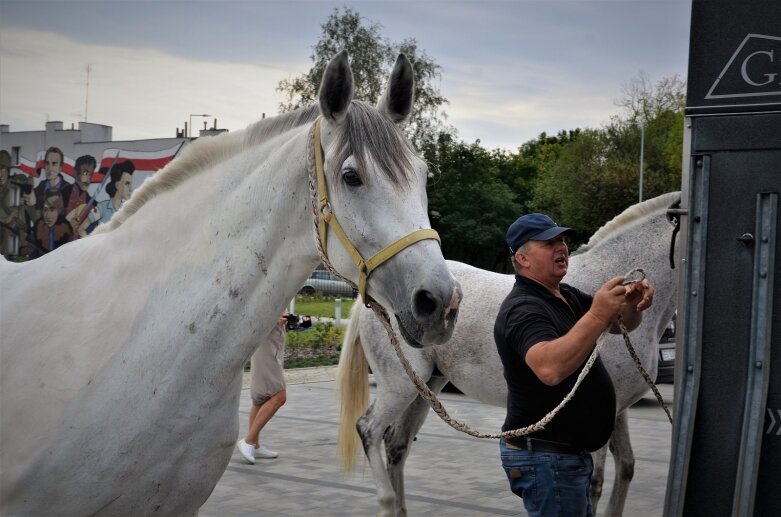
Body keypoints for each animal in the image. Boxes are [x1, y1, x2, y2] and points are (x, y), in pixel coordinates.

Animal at [338, 192, 680, 516]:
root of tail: (371, 300)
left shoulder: (617, 408)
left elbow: (627, 466)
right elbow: (594, 483)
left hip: (427, 387)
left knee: (397, 445)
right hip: (399, 385)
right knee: (369, 430)